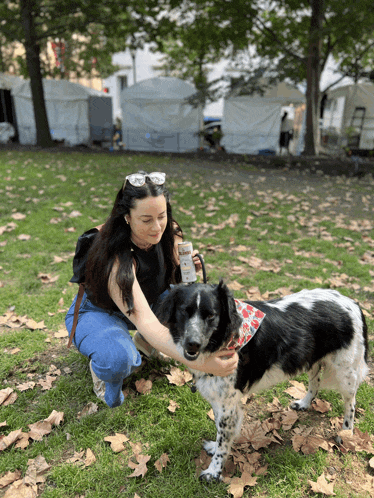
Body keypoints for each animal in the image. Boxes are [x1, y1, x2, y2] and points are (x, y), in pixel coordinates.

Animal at [157, 284, 368, 482]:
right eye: (185, 310)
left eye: (211, 315)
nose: (192, 343)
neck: (224, 339)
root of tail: (353, 303)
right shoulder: (220, 401)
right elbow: (221, 433)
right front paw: (214, 449)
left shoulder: (227, 405)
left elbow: (223, 441)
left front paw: (214, 471)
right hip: (313, 359)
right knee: (314, 382)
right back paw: (304, 403)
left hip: (346, 373)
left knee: (351, 404)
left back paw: (347, 433)